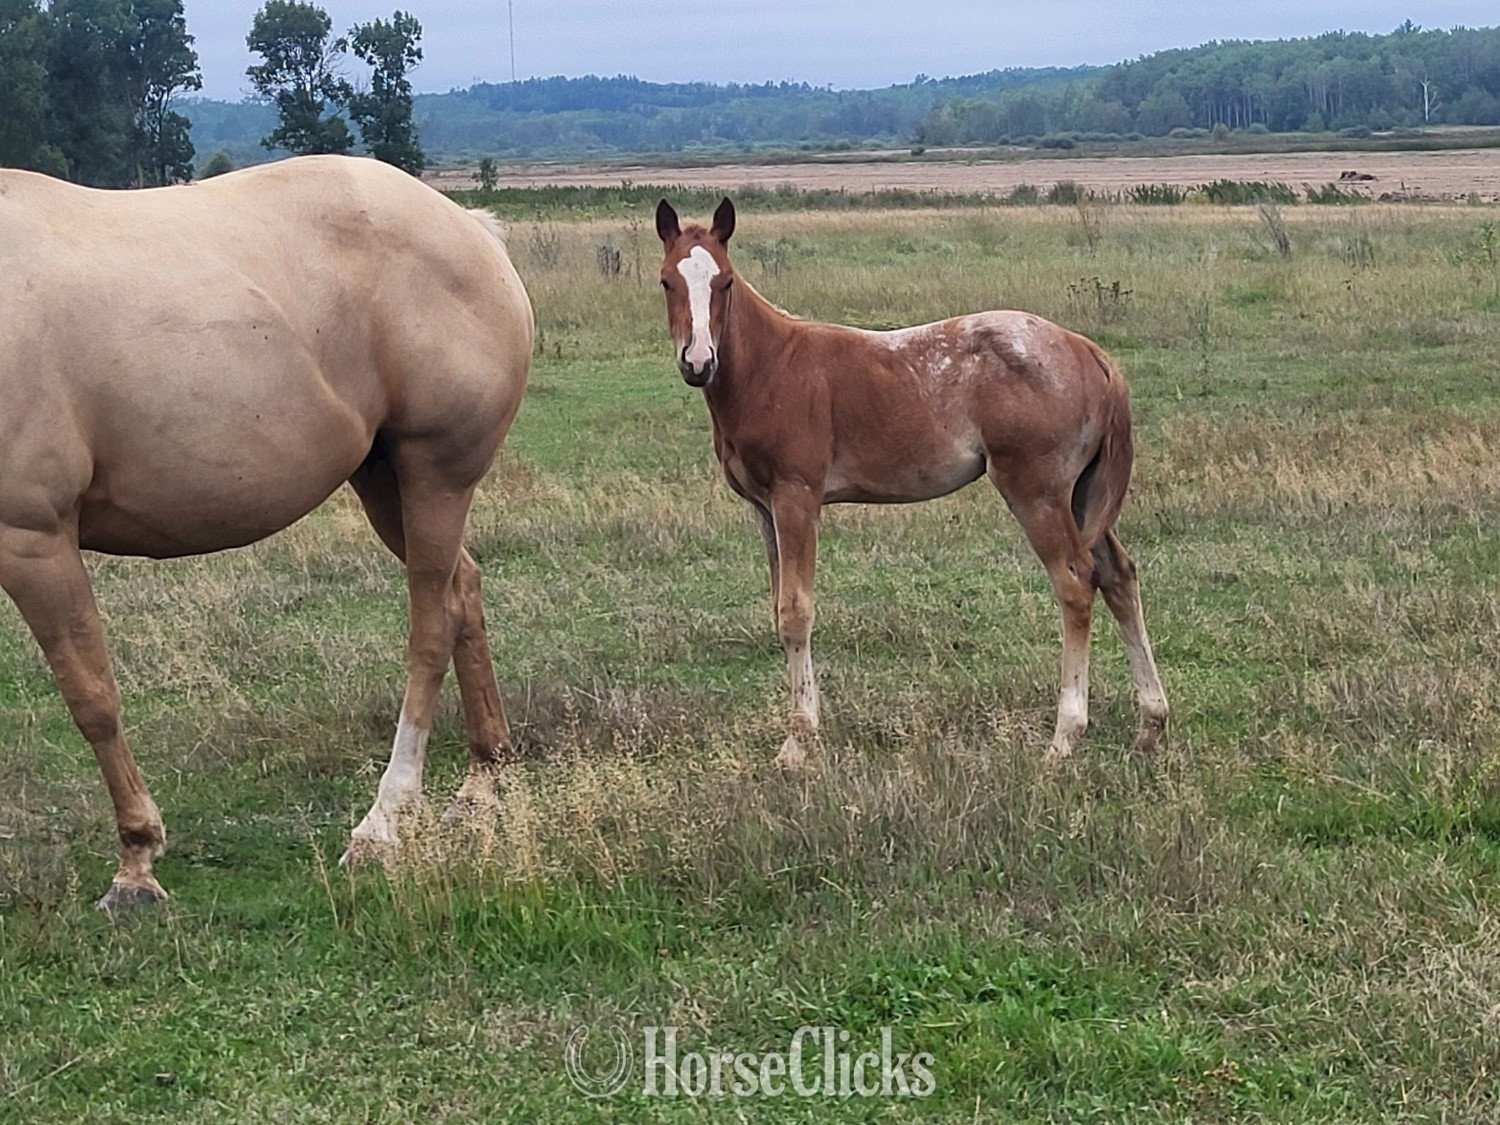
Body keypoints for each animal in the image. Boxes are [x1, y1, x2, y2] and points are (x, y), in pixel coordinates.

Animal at [0, 155, 533, 908]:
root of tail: (471, 230)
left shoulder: (33, 538)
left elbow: (92, 697)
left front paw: (136, 863)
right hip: (387, 483)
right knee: (465, 593)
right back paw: (483, 784)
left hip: (435, 476)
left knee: (431, 628)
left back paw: (383, 824)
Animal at [654, 198, 1168, 768]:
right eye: (666, 282)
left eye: (723, 282)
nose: (698, 362)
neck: (770, 368)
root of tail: (1089, 352)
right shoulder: (763, 508)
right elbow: (778, 606)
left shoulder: (797, 498)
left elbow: (795, 612)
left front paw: (797, 743)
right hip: (1081, 496)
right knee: (1118, 575)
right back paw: (1150, 726)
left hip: (1037, 492)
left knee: (1076, 584)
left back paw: (1064, 738)